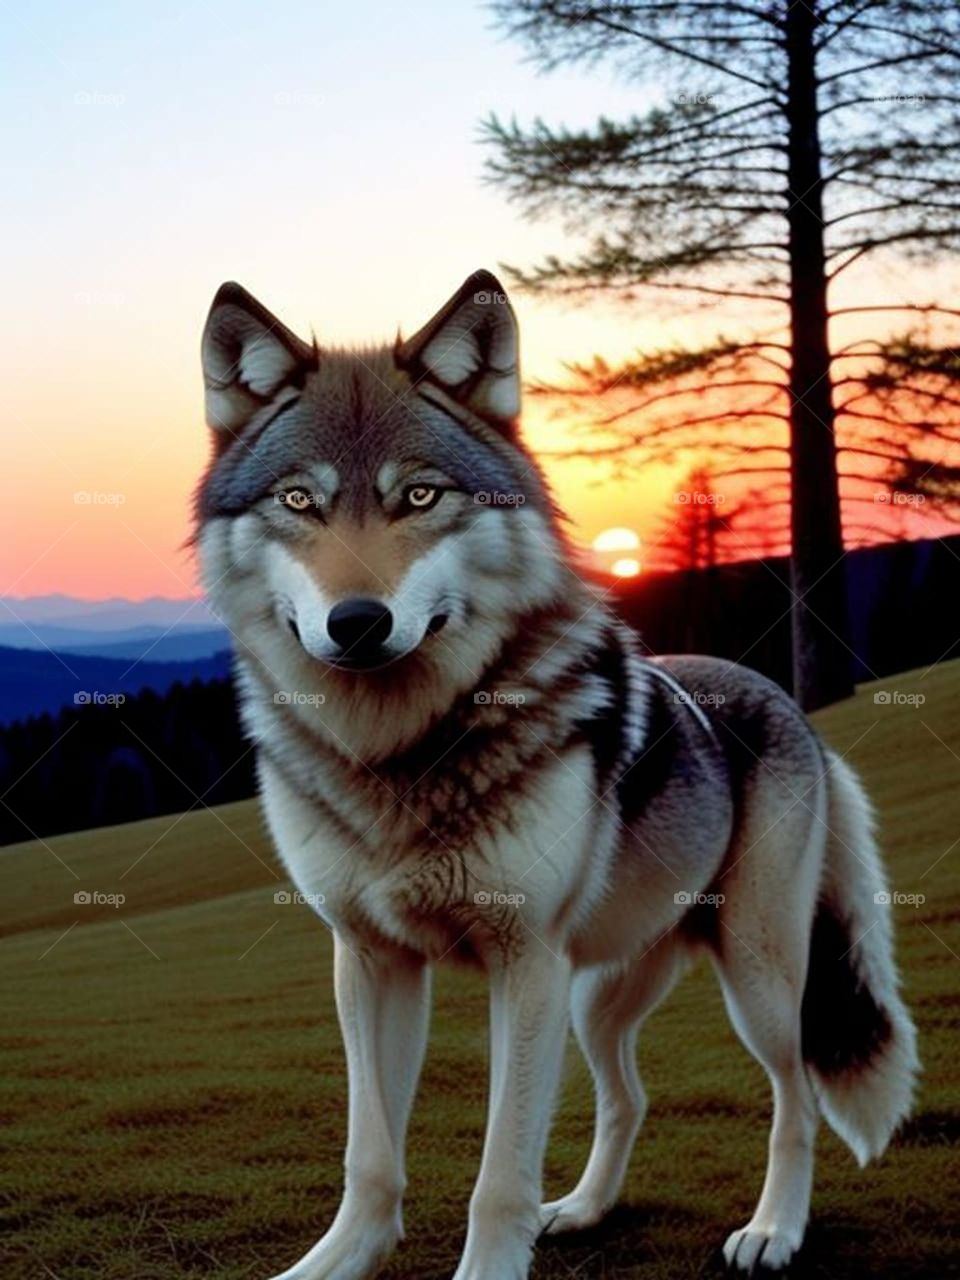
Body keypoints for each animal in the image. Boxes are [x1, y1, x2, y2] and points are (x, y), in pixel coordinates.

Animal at [196, 270, 918, 1280]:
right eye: (300, 501)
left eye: (420, 495)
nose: (359, 622)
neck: (398, 754)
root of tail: (782, 698)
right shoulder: (370, 959)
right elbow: (370, 1154)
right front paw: (337, 1261)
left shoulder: (523, 961)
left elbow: (501, 1171)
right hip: (600, 995)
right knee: (630, 1096)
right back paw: (581, 1208)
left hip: (755, 978)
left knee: (798, 1096)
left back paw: (774, 1229)